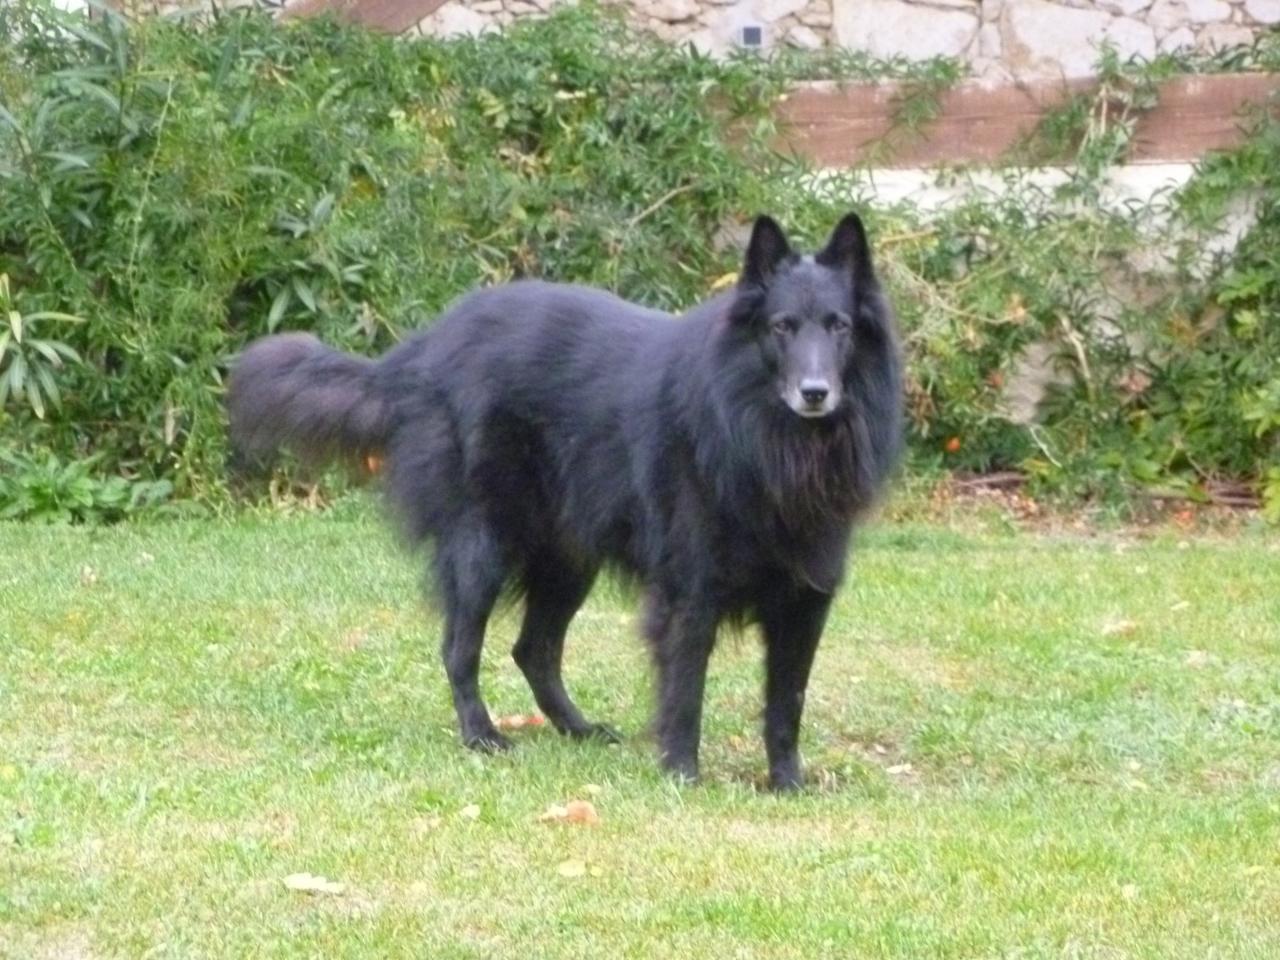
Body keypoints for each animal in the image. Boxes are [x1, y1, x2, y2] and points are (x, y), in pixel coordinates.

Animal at [227, 212, 901, 788]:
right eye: (782, 327)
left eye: (838, 327)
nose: (815, 392)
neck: (763, 435)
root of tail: (419, 352)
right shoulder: (691, 594)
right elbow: (685, 693)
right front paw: (682, 776)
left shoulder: (805, 603)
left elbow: (786, 705)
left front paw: (787, 783)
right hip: (483, 548)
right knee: (459, 647)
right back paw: (482, 735)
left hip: (568, 559)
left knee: (533, 650)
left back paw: (576, 729)